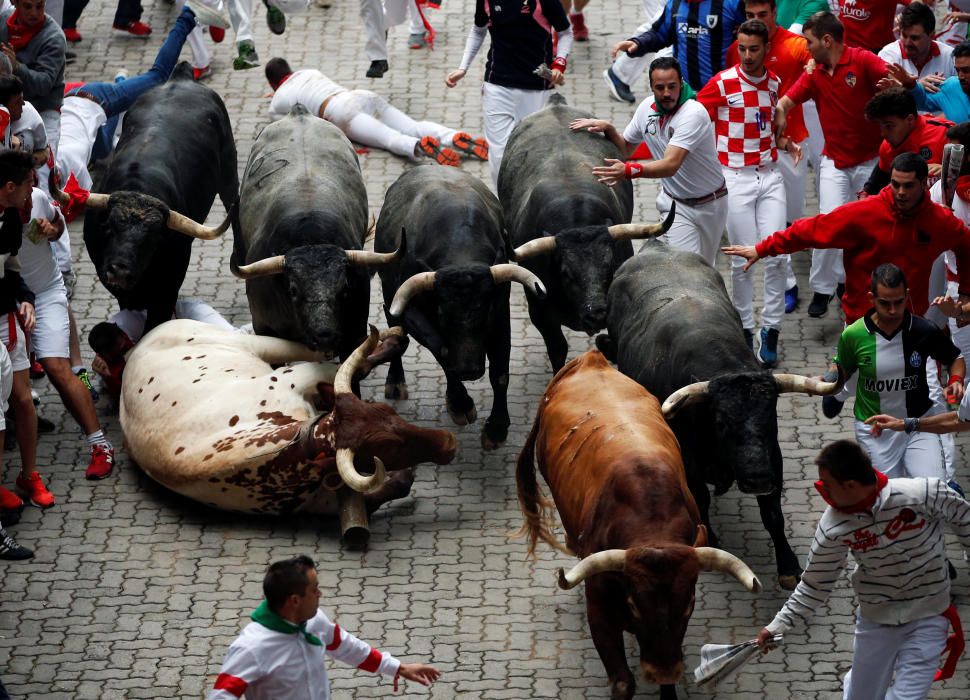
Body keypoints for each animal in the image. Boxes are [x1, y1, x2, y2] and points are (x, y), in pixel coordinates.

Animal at [119, 322, 456, 548]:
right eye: (388, 448)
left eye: (390, 413)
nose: (448, 442)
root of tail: (136, 348)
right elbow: (391, 489)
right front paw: (404, 475)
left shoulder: (297, 379)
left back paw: (392, 337)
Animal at [376, 165, 544, 448]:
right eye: (443, 312)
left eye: (485, 309)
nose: (469, 370)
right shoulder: (410, 311)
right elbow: (442, 351)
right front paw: (461, 404)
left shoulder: (501, 313)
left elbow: (500, 372)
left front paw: (496, 428)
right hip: (389, 298)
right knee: (396, 333)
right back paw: (396, 382)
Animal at [520, 352, 760, 700]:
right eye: (634, 604)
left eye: (689, 604)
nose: (662, 671)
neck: (651, 522)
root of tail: (590, 359)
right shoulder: (599, 610)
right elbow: (622, 681)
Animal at [596, 246, 840, 592]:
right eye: (722, 422)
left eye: (770, 416)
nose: (756, 479)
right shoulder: (688, 460)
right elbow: (699, 498)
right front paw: (709, 538)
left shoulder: (772, 456)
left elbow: (773, 514)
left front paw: (788, 565)